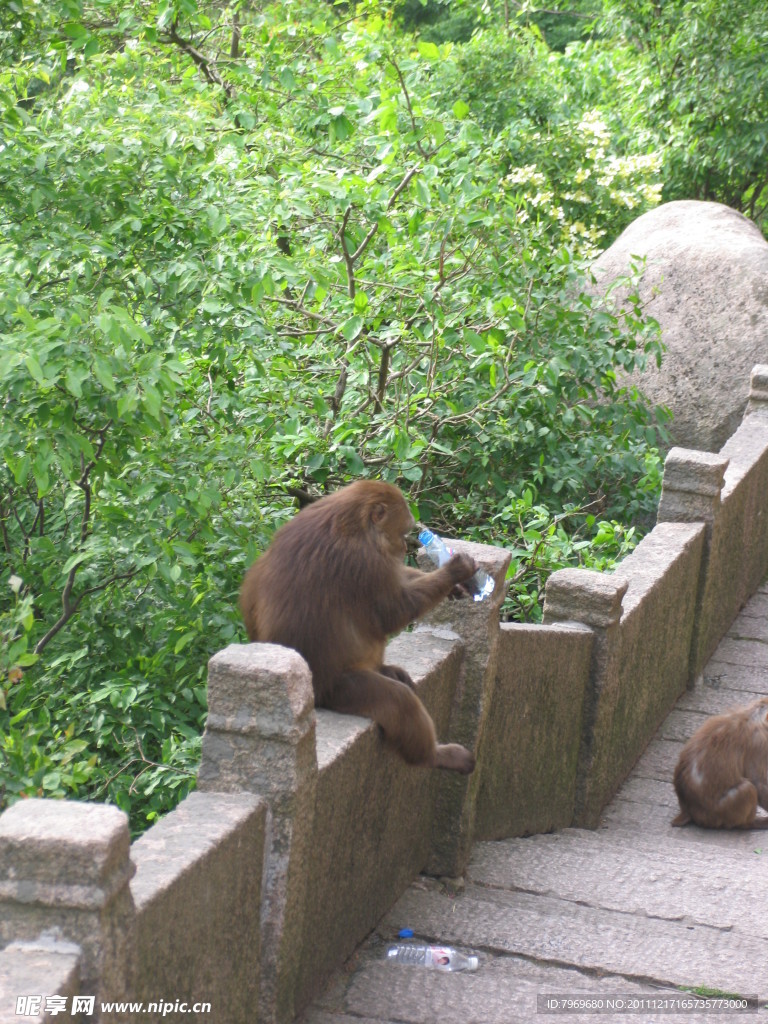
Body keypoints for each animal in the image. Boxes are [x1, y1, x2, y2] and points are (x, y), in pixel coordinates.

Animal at [240, 483, 481, 770]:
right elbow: (392, 611)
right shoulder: (365, 559)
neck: (351, 523)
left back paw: (388, 671)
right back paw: (435, 756)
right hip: (341, 690)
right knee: (400, 702)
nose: (403, 546)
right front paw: (455, 571)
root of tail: (316, 695)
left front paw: (455, 586)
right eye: (403, 531)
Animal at [671, 696, 768, 831]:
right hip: (719, 811)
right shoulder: (759, 742)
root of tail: (688, 809)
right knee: (747, 789)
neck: (755, 716)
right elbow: (759, 783)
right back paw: (751, 823)